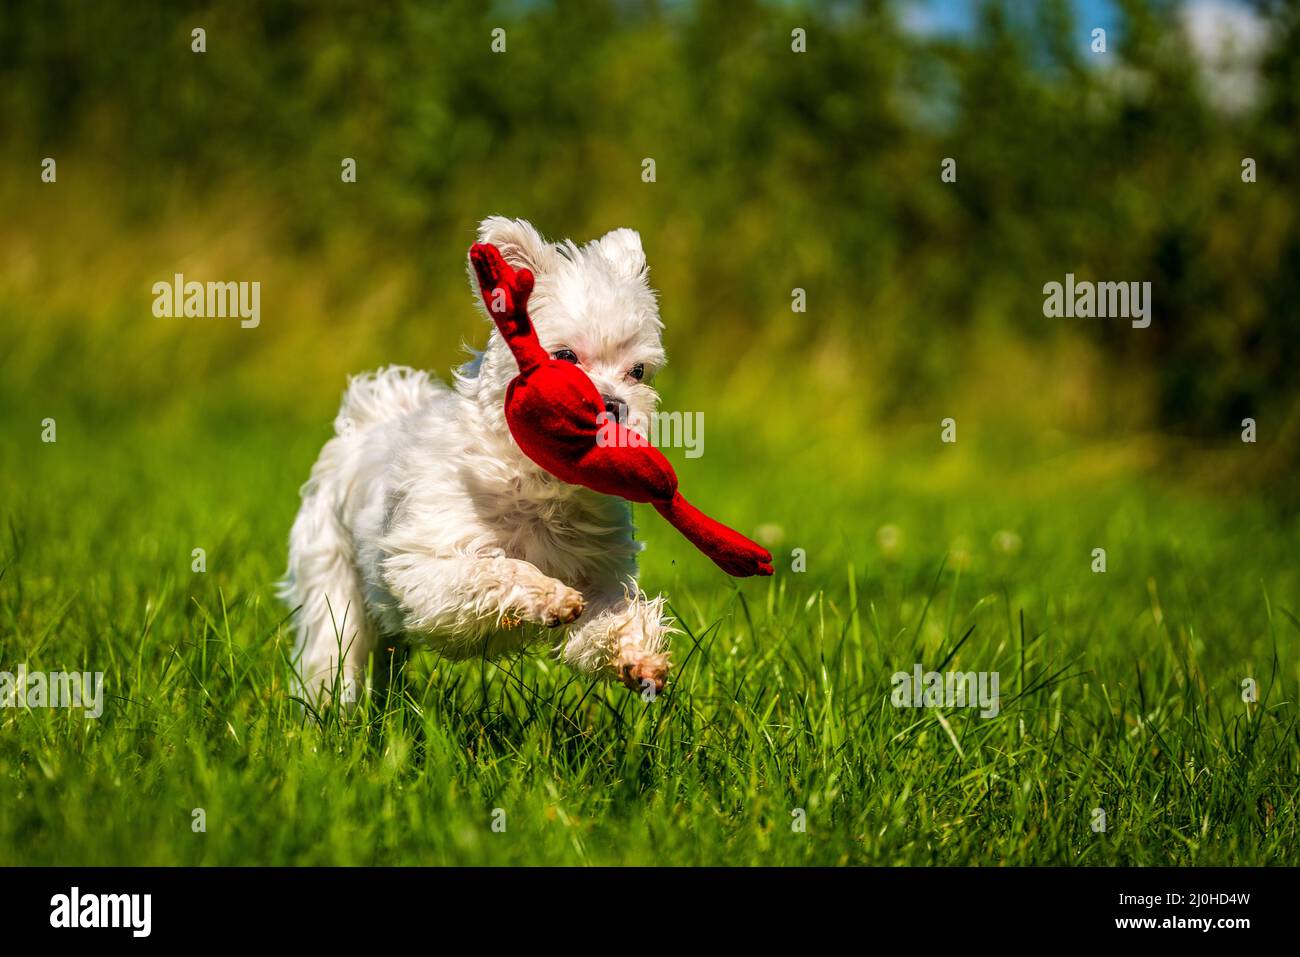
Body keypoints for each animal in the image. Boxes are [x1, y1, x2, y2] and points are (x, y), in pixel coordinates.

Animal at [282, 217, 670, 712]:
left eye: (637, 372)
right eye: (565, 357)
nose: (615, 405)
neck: (537, 484)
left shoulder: (599, 574)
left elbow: (611, 618)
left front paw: (637, 656)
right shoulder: (426, 570)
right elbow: (494, 570)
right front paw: (546, 594)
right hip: (332, 581)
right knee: (332, 651)